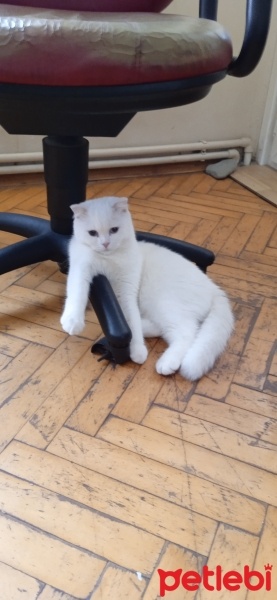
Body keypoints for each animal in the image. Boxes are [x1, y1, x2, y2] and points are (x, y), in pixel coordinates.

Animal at [60, 197, 233, 380]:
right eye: (92, 233)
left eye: (114, 230)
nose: (105, 243)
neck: (110, 258)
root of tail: (214, 289)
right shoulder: (81, 268)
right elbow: (77, 292)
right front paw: (73, 321)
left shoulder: (127, 290)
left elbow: (132, 319)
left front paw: (137, 349)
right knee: (163, 328)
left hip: (163, 302)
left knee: (186, 333)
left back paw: (167, 362)